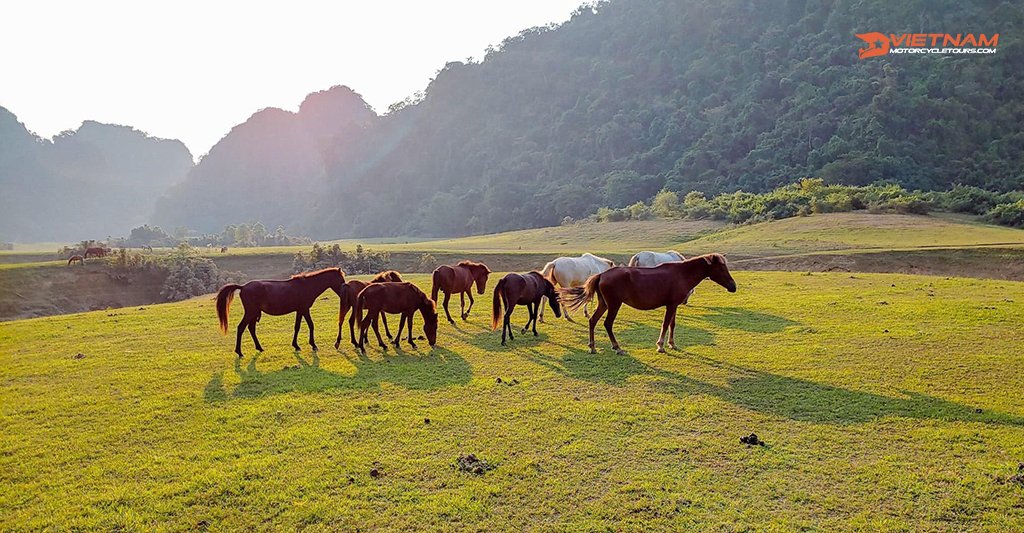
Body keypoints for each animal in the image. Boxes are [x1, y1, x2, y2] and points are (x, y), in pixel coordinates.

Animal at [214, 265, 346, 358]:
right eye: (341, 279)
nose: (344, 292)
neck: (307, 286)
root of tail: (242, 287)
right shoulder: (304, 309)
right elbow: (311, 325)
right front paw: (313, 345)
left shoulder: (300, 310)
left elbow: (297, 327)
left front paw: (296, 345)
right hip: (250, 312)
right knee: (241, 328)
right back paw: (239, 352)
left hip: (253, 313)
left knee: (251, 329)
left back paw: (259, 348)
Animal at [561, 252, 737, 353]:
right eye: (721, 268)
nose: (733, 286)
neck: (682, 274)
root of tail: (602, 275)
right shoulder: (671, 305)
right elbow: (665, 324)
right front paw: (661, 345)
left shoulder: (673, 305)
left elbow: (672, 324)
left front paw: (672, 344)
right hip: (614, 305)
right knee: (607, 324)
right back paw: (617, 347)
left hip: (604, 304)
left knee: (593, 321)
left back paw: (592, 346)